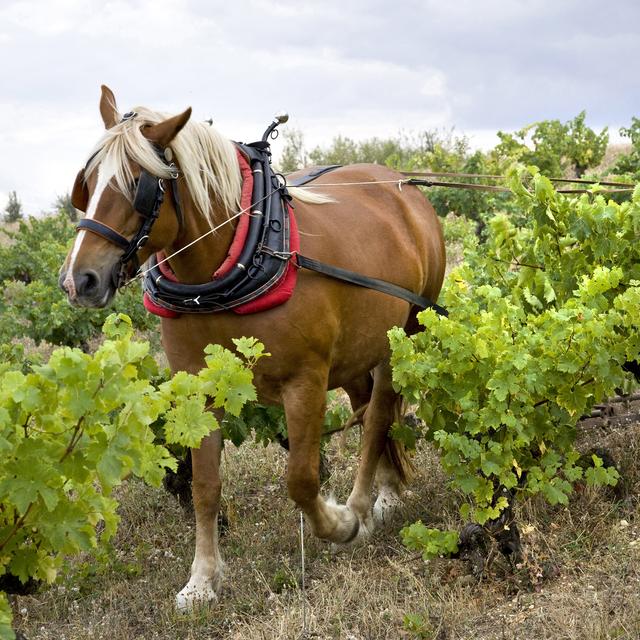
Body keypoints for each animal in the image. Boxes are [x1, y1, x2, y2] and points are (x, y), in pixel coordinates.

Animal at [58, 85, 444, 608]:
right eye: (88, 183)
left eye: (139, 184)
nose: (79, 280)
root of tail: (402, 187)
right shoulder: (198, 388)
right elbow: (205, 485)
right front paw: (202, 580)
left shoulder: (306, 381)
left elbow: (301, 478)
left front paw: (338, 524)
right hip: (356, 352)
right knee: (369, 411)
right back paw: (382, 496)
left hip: (401, 339)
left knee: (378, 418)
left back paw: (363, 506)